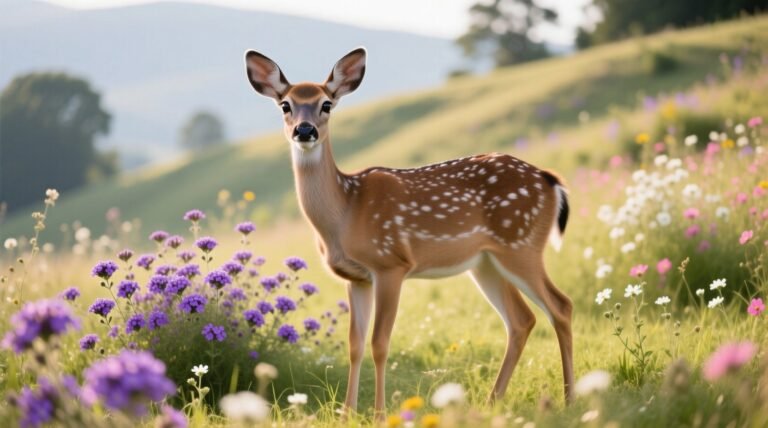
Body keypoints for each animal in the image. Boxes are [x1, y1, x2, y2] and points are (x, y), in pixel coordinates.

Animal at [244, 47, 573, 417]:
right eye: (285, 105)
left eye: (326, 104)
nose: (304, 130)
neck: (346, 212)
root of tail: (550, 180)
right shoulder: (355, 277)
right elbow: (355, 344)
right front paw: (347, 413)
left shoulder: (391, 264)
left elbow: (380, 343)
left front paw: (378, 414)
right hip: (486, 262)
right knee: (522, 320)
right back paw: (493, 401)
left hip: (521, 243)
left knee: (561, 306)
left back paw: (570, 398)